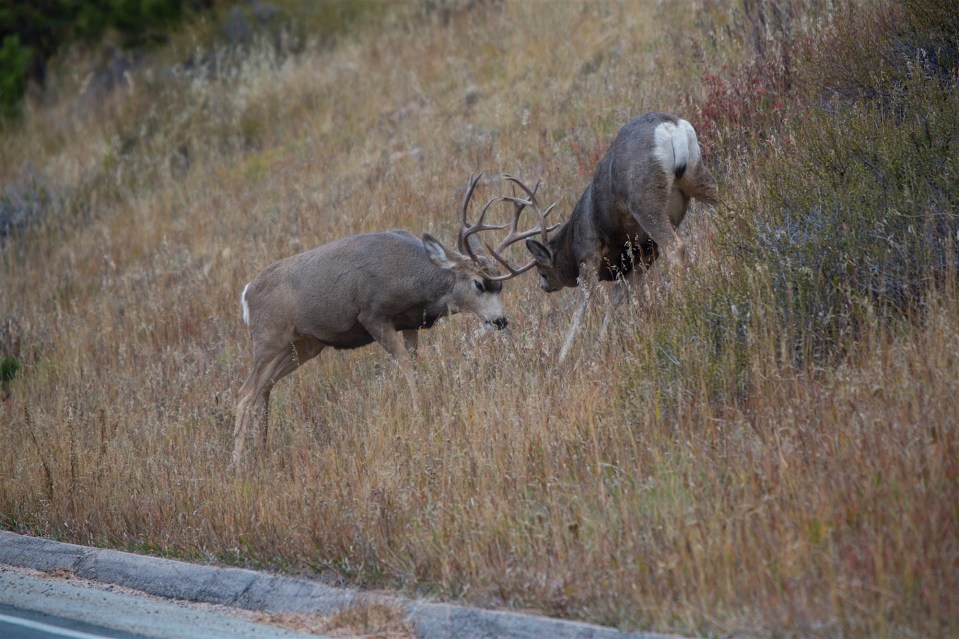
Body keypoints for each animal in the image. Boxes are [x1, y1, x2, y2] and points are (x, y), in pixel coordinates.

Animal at [232, 174, 554, 464]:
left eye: (501, 286)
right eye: (478, 284)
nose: (500, 321)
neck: (413, 281)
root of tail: (246, 294)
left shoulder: (410, 323)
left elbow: (414, 364)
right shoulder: (373, 315)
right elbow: (407, 367)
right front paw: (419, 412)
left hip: (303, 345)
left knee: (264, 389)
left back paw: (262, 450)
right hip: (269, 339)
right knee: (245, 393)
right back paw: (236, 462)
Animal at [524, 112, 719, 362]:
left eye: (542, 271)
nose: (544, 286)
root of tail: (671, 127)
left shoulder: (589, 254)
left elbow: (583, 303)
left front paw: (563, 357)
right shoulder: (642, 256)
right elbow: (617, 298)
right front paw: (601, 341)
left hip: (646, 201)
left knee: (676, 247)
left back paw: (680, 303)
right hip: (698, 177)